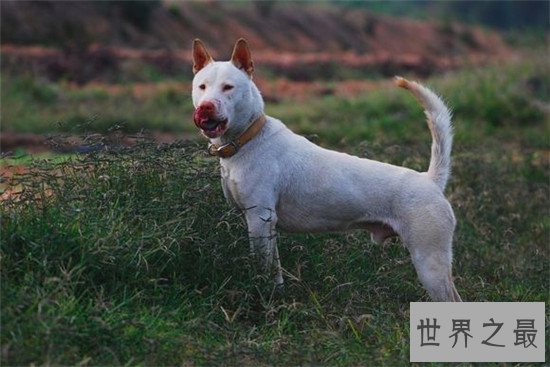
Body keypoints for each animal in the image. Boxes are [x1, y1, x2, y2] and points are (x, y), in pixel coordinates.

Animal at [192, 38, 464, 302]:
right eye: (202, 87)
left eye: (228, 87)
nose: (205, 108)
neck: (247, 138)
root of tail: (430, 181)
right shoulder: (267, 225)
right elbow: (275, 270)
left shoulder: (258, 219)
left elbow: (262, 267)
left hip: (429, 262)